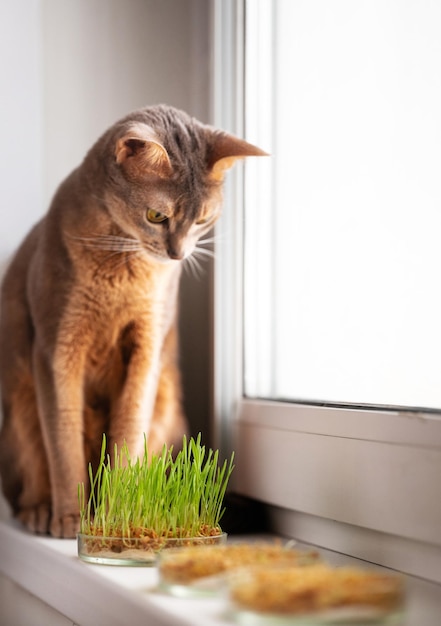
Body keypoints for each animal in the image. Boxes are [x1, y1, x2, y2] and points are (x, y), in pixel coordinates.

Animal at [0, 105, 264, 532]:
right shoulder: (57, 348)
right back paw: (39, 512)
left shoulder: (147, 346)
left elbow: (126, 440)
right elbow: (63, 444)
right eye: (156, 216)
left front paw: (112, 518)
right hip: (20, 411)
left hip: (167, 405)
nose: (177, 254)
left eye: (203, 220)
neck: (122, 264)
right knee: (28, 476)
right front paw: (71, 519)